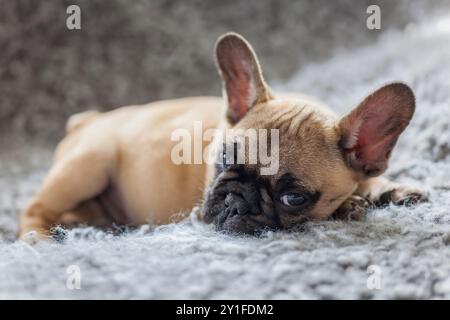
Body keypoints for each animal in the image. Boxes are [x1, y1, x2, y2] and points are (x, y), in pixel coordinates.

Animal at [18, 33, 426, 242]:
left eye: (293, 198)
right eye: (224, 159)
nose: (234, 201)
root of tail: (85, 121)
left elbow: (370, 180)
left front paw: (389, 189)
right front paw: (349, 206)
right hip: (90, 165)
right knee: (34, 209)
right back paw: (41, 239)